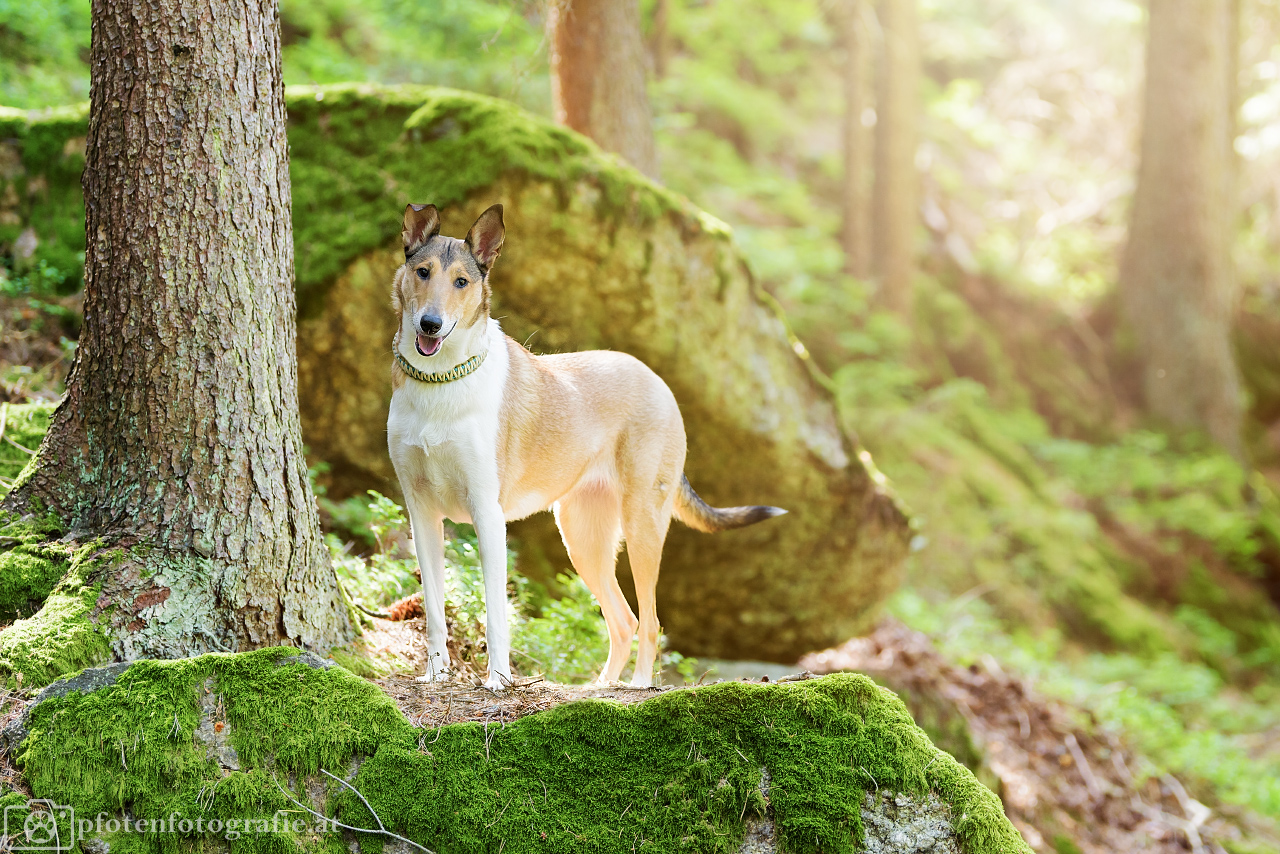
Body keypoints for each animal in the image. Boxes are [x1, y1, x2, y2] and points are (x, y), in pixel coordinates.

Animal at [384, 202, 783, 686]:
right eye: (422, 272)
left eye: (461, 282)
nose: (430, 324)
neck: (439, 382)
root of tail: (657, 380)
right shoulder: (421, 511)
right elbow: (434, 609)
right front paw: (435, 675)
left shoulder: (487, 514)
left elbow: (496, 613)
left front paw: (497, 680)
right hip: (582, 537)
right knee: (624, 620)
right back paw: (604, 685)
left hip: (642, 525)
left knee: (650, 622)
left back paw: (639, 685)